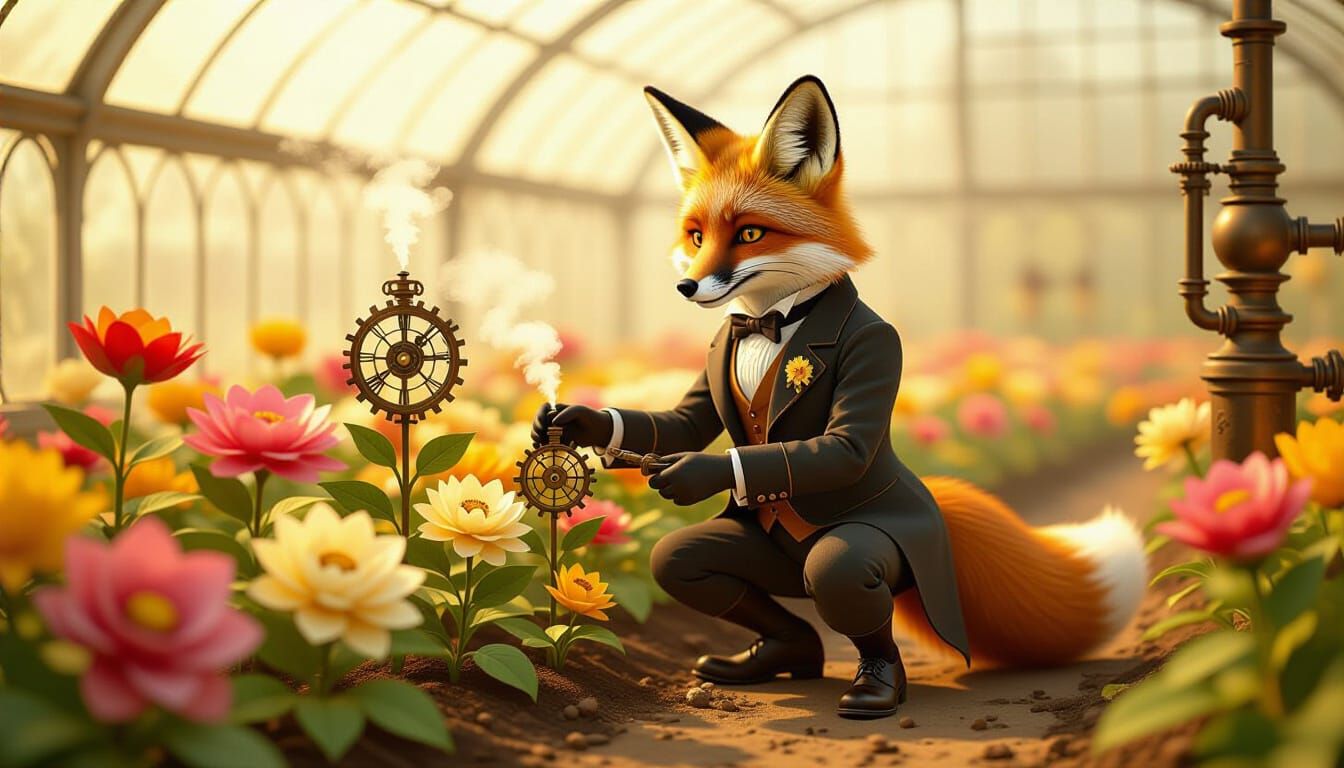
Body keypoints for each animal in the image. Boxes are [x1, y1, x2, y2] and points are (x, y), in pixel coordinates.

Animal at [536, 75, 1145, 718]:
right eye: (696, 235)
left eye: (749, 233)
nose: (686, 285)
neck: (769, 323)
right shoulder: (712, 370)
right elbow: (679, 419)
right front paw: (577, 420)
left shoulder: (872, 352)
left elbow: (834, 446)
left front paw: (698, 472)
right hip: (759, 566)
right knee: (684, 562)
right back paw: (783, 654)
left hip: (847, 562)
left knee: (840, 577)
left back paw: (876, 683)